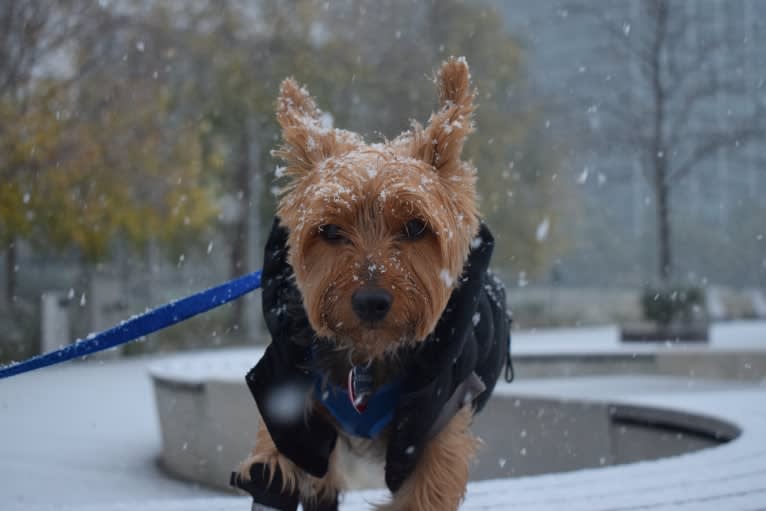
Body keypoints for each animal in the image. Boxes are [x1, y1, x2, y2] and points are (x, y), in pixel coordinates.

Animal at [231, 58, 512, 510]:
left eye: (416, 226)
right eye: (329, 230)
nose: (371, 301)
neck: (366, 358)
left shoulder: (434, 430)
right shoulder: (286, 410)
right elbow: (274, 472)